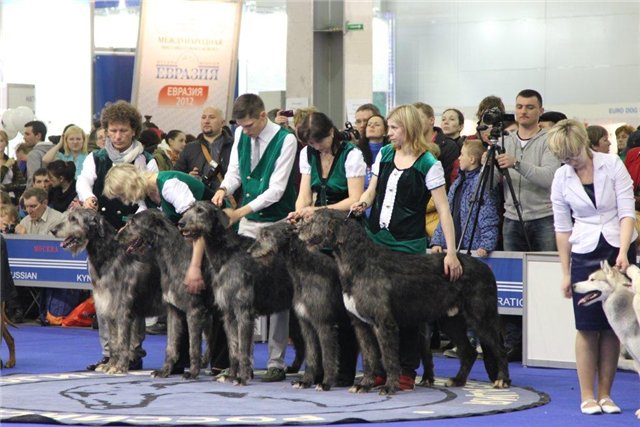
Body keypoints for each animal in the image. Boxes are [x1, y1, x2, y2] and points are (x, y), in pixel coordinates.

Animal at [52, 210, 162, 374]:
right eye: (67, 216)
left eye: (74, 219)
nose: (53, 230)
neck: (109, 254)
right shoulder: (107, 307)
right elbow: (113, 341)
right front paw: (110, 364)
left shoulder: (122, 309)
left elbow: (122, 341)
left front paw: (120, 367)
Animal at [119, 209, 218, 380]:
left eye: (132, 222)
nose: (116, 237)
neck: (173, 255)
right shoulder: (174, 310)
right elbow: (171, 345)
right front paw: (165, 370)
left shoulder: (194, 311)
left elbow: (193, 346)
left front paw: (193, 372)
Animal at [178, 202, 292, 386]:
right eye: (189, 208)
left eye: (200, 210)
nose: (181, 223)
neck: (227, 253)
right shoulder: (229, 313)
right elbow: (234, 348)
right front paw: (231, 375)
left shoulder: (243, 312)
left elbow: (244, 349)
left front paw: (243, 377)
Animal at [250, 221, 360, 392]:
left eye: (266, 235)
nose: (249, 251)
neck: (305, 268)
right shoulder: (306, 324)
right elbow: (312, 354)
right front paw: (306, 381)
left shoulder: (325, 324)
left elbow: (327, 356)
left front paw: (326, 383)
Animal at [296, 209, 510, 396]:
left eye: (314, 219)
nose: (297, 229)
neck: (360, 261)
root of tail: (486, 267)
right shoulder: (360, 324)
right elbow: (369, 357)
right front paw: (365, 384)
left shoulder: (384, 324)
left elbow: (389, 358)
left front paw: (389, 387)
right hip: (451, 320)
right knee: (469, 352)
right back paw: (458, 380)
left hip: (482, 317)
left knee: (499, 348)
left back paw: (503, 380)